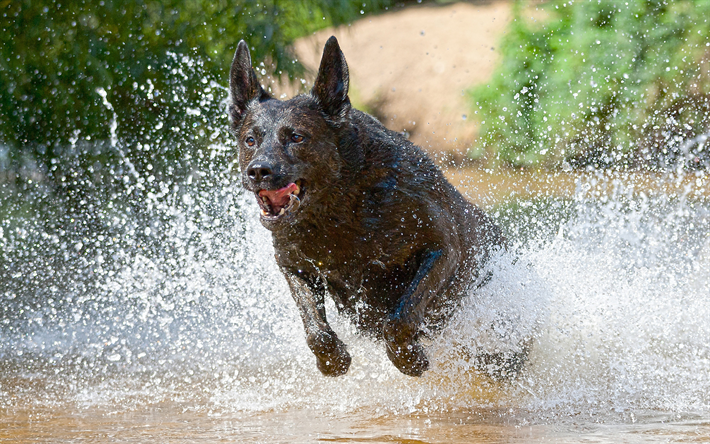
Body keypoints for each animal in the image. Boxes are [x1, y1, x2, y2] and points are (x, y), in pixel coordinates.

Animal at [231, 36, 508, 376]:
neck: (338, 207)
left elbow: (401, 317)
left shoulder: (441, 248)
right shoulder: (293, 264)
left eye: (296, 137)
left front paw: (408, 358)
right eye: (250, 140)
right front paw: (332, 360)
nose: (258, 171)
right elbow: (314, 329)